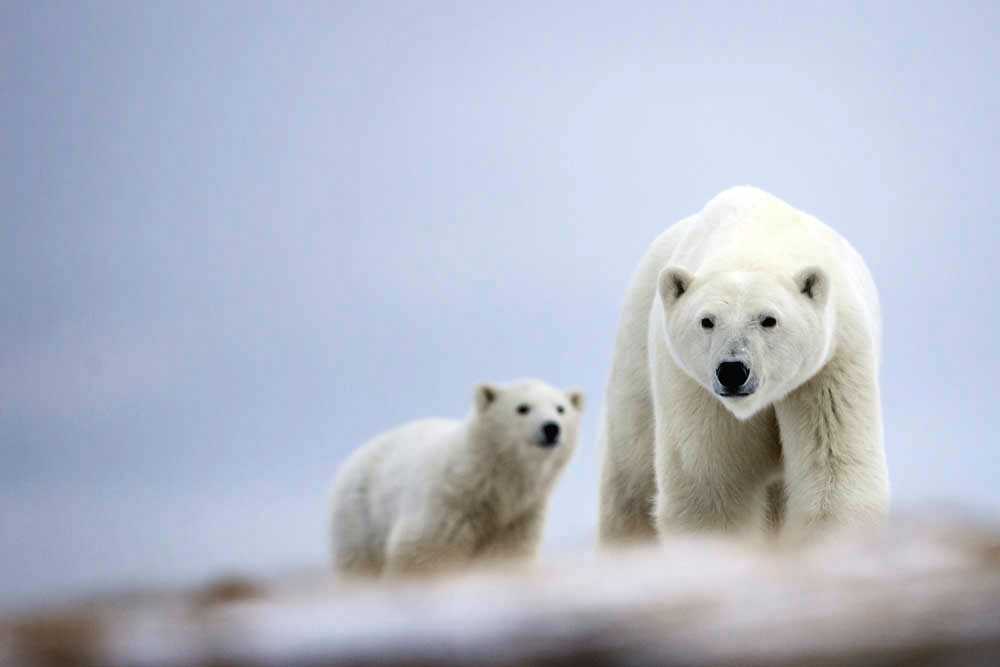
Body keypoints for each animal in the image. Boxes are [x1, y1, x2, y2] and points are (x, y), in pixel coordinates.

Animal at [330, 378, 580, 576]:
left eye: (560, 408)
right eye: (523, 408)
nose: (551, 428)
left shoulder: (518, 519)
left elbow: (508, 557)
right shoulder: (446, 508)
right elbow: (419, 553)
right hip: (361, 517)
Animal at [600, 185, 892, 544]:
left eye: (769, 319)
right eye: (707, 321)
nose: (732, 370)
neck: (752, 237)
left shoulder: (831, 364)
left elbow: (834, 469)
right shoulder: (692, 385)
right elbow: (711, 488)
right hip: (635, 366)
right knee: (631, 476)